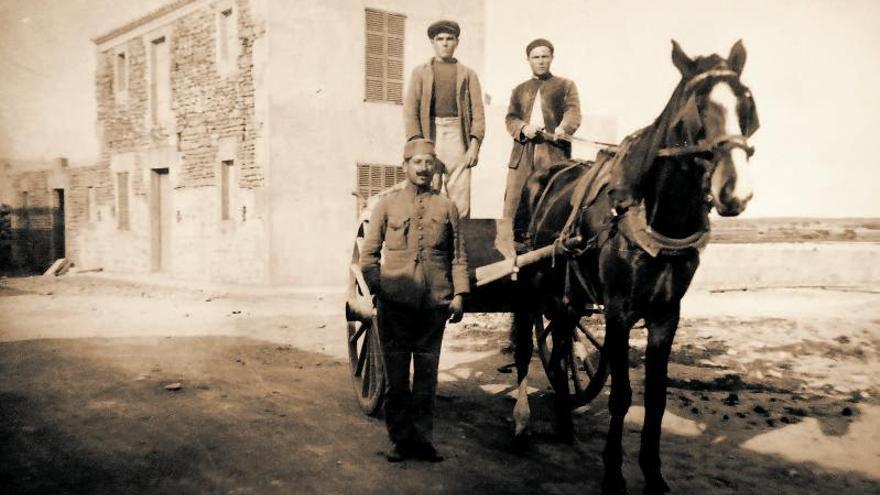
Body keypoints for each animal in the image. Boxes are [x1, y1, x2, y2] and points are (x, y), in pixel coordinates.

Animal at [508, 39, 756, 495]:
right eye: (697, 104)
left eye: (746, 102)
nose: (735, 190)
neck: (654, 213)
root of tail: (545, 173)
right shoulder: (619, 311)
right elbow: (621, 395)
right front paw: (612, 473)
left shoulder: (666, 314)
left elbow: (655, 397)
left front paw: (654, 474)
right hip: (530, 281)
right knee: (523, 348)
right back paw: (521, 423)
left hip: (568, 298)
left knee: (562, 343)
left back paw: (565, 419)